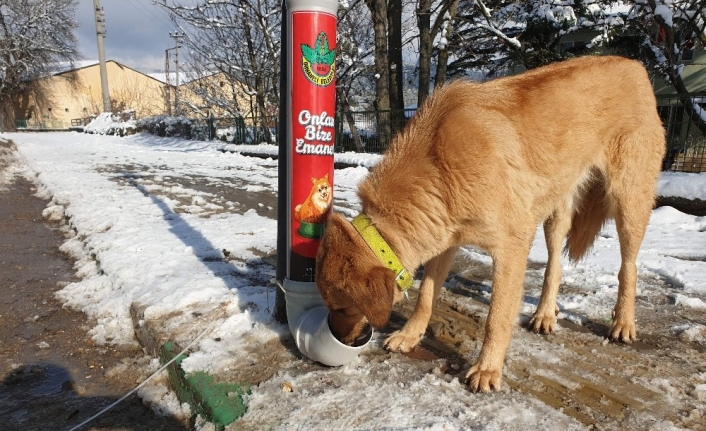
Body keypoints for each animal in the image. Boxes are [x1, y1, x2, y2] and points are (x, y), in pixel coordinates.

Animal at [316, 55, 664, 394]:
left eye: (343, 308)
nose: (342, 341)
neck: (438, 165)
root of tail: (634, 65)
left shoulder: (511, 248)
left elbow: (496, 318)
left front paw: (487, 368)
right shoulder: (446, 240)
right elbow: (426, 296)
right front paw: (410, 334)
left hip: (628, 202)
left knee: (628, 266)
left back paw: (623, 321)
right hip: (555, 214)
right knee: (553, 266)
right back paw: (545, 313)